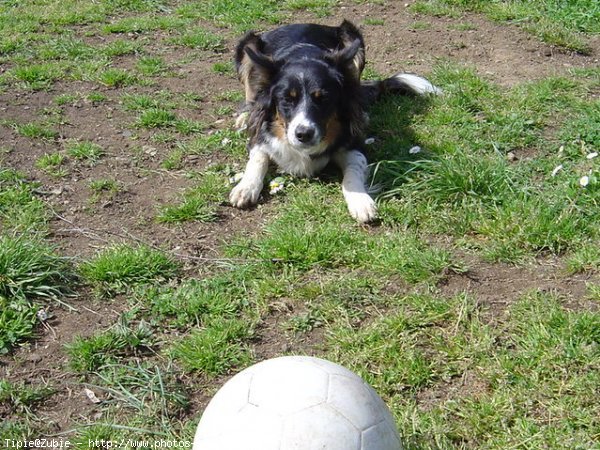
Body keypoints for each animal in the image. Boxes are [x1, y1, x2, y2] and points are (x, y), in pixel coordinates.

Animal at [227, 19, 438, 223]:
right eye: (287, 99)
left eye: (323, 99)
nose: (303, 134)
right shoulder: (259, 135)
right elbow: (257, 159)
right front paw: (245, 187)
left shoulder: (354, 144)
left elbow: (353, 172)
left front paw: (361, 201)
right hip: (247, 44)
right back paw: (246, 115)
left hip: (352, 36)